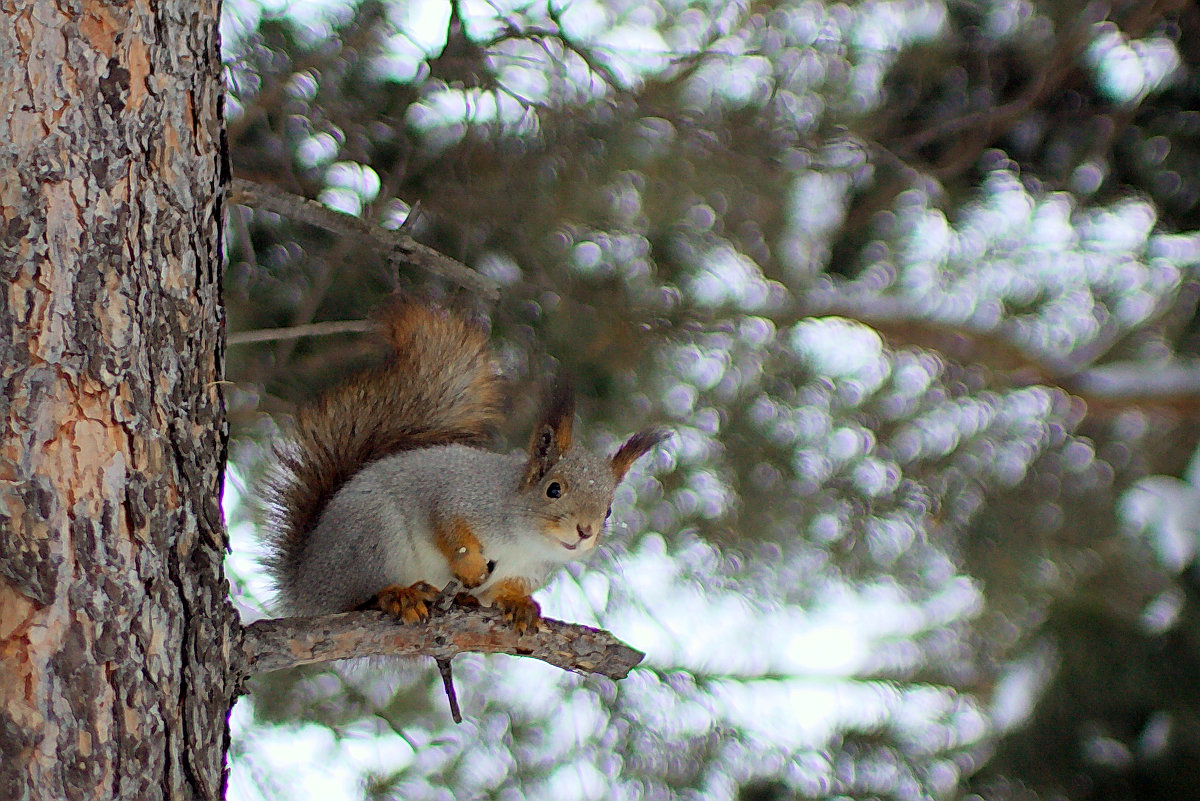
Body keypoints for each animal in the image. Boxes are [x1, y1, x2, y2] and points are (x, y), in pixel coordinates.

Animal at [261, 299, 667, 633]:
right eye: (553, 489)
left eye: (609, 509)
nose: (585, 531)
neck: (525, 540)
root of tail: (304, 588)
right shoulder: (460, 495)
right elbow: (449, 528)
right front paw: (469, 566)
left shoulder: (531, 569)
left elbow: (509, 588)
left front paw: (519, 605)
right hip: (371, 538)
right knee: (358, 597)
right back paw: (400, 595)